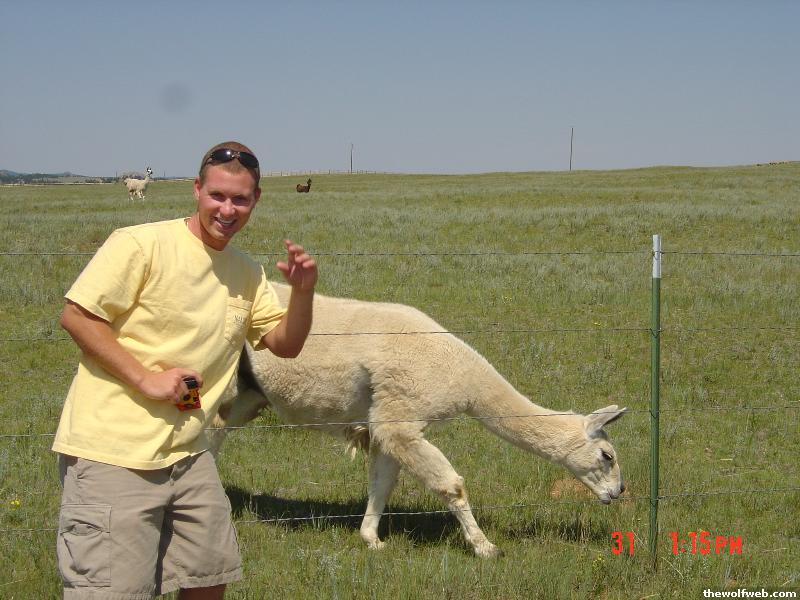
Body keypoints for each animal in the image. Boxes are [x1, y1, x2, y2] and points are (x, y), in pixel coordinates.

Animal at [211, 283, 628, 558]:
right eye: (607, 455)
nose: (619, 492)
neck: (464, 378)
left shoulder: (387, 419)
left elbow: (382, 483)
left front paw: (372, 540)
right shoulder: (401, 415)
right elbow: (452, 485)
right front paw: (486, 548)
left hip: (249, 392)